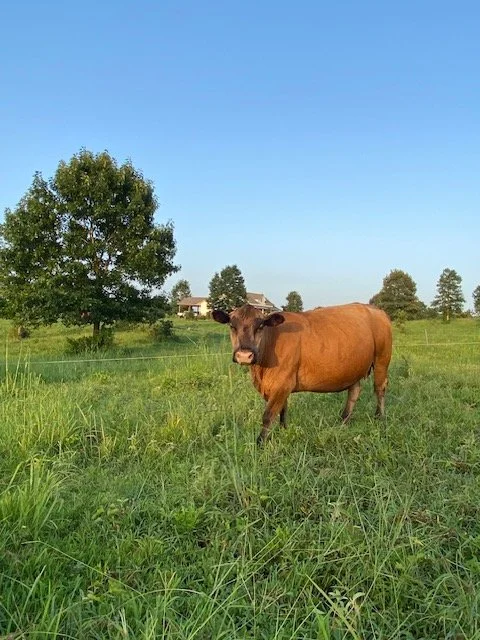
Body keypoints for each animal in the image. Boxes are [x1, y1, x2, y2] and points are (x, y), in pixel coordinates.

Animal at [212, 303, 392, 444]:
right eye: (232, 325)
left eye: (261, 326)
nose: (244, 355)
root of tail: (375, 309)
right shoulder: (278, 386)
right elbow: (282, 411)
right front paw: (283, 431)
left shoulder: (283, 382)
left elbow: (268, 415)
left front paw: (260, 443)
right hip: (354, 367)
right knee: (354, 391)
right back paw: (343, 421)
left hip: (382, 359)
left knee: (379, 388)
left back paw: (379, 417)